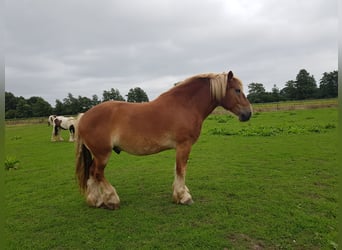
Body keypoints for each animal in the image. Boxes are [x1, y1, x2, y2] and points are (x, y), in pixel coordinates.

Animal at [75, 71, 251, 210]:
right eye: (237, 90)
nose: (248, 113)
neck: (185, 105)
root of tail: (83, 117)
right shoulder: (184, 145)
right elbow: (181, 169)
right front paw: (184, 197)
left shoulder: (179, 147)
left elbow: (177, 169)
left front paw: (180, 193)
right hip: (103, 154)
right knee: (97, 173)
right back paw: (112, 200)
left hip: (98, 154)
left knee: (91, 173)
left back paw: (96, 201)